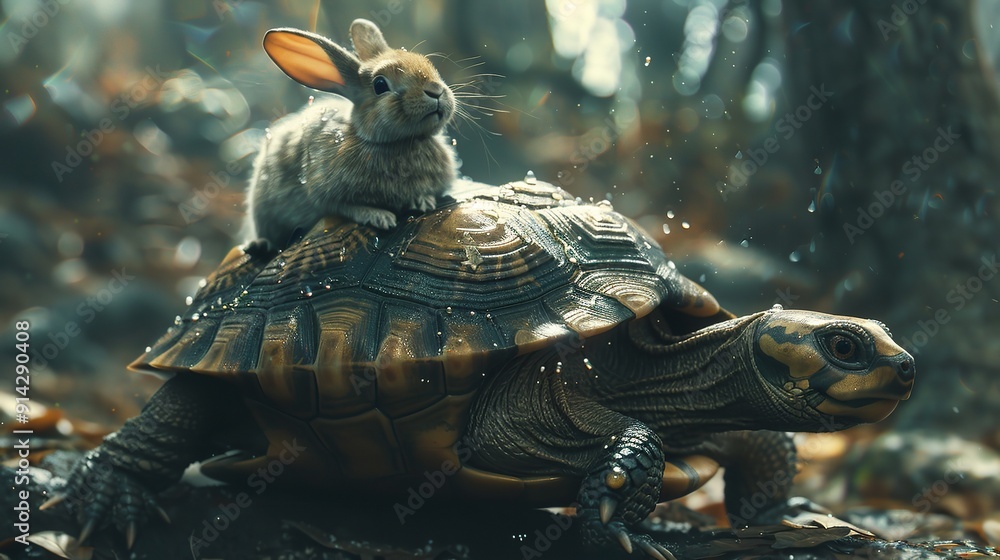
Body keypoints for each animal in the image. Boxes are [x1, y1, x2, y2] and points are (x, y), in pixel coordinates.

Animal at [244, 18, 458, 254]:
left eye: (429, 65)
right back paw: (259, 245)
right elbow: (345, 207)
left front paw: (423, 202)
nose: (435, 91)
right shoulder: (323, 191)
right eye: (380, 85)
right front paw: (379, 216)